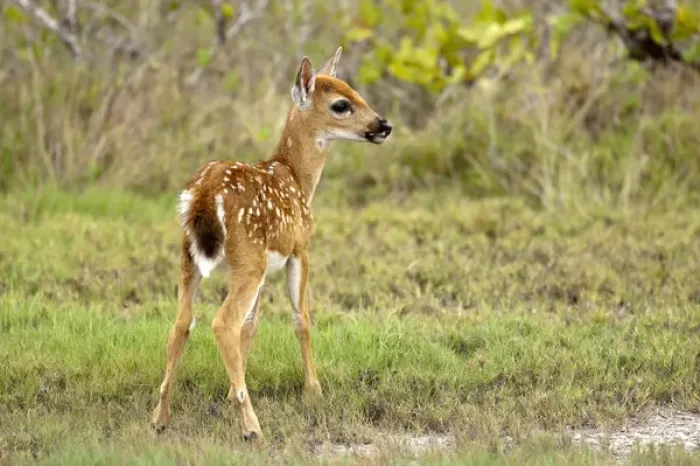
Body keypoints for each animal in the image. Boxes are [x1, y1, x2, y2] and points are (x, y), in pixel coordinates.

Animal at [151, 47, 392, 442]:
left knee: (183, 322)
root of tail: (203, 197)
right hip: (248, 259)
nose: (384, 126)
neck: (296, 179)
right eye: (341, 104)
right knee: (222, 322)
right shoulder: (299, 250)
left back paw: (160, 416)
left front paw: (230, 391)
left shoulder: (268, 262)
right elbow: (301, 318)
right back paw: (251, 426)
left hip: (191, 258)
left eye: (356, 91)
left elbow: (252, 324)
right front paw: (314, 390)